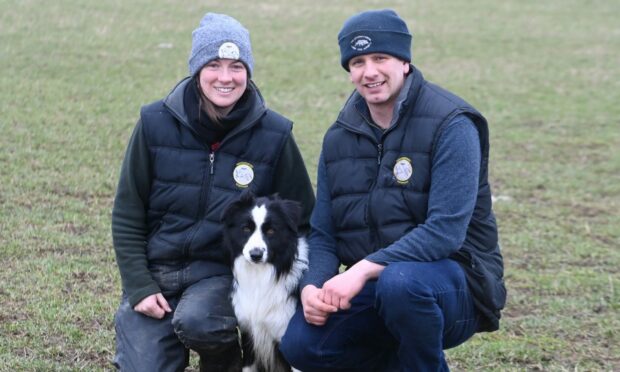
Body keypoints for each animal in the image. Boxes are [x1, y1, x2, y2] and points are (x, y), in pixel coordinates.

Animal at [223, 192, 310, 372]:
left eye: (270, 231)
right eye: (246, 229)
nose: (256, 255)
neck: (261, 275)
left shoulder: (290, 341)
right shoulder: (249, 332)